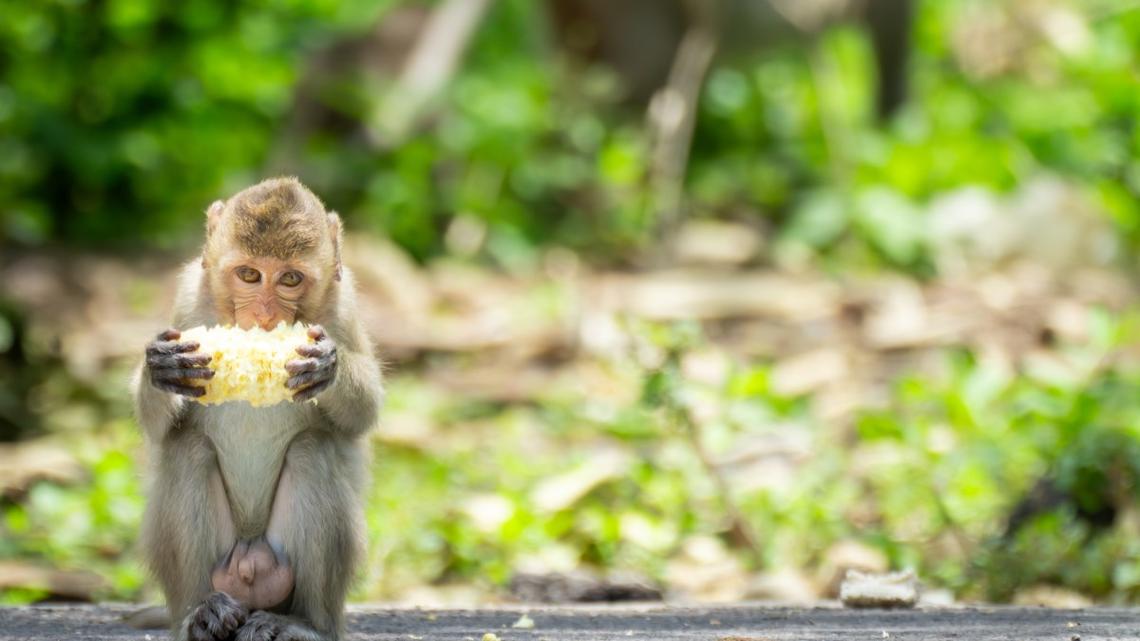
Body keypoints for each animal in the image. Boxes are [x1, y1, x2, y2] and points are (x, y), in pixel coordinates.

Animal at [132, 177, 384, 641]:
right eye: (249, 275)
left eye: (290, 278)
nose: (265, 314)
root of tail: (250, 562)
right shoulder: (187, 296)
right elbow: (157, 428)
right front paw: (164, 364)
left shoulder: (346, 306)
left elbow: (363, 413)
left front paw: (327, 367)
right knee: (187, 449)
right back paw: (200, 614)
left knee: (312, 451)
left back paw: (305, 624)